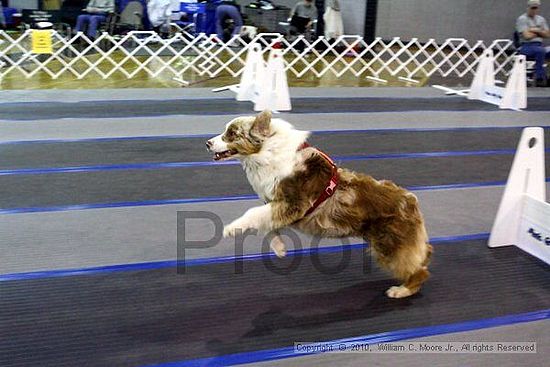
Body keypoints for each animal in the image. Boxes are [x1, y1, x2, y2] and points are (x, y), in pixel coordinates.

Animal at [208, 110, 436, 300]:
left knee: (419, 270)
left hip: (389, 246)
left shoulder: (293, 203)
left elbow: (253, 212)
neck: (266, 153)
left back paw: (402, 290)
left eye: (231, 134)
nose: (207, 143)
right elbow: (268, 224)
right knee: (425, 254)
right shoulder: (279, 207)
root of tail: (411, 201)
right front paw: (279, 248)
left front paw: (232, 229)